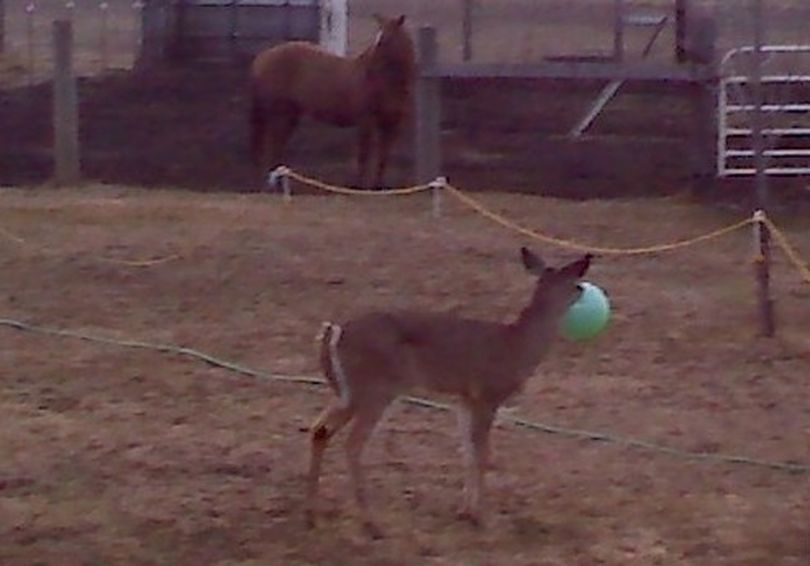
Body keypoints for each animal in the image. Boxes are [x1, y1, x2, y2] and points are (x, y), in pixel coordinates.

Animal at [248, 13, 414, 189]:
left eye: (386, 40)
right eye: (378, 40)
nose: (368, 71)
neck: (388, 83)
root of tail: (262, 58)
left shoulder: (391, 124)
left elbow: (383, 157)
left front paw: (378, 187)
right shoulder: (366, 122)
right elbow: (364, 155)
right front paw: (360, 186)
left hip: (290, 116)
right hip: (280, 115)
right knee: (273, 148)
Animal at [306, 247, 592, 536]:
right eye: (576, 284)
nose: (583, 291)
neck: (517, 346)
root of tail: (336, 332)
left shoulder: (464, 399)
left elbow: (467, 453)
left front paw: (464, 511)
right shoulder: (488, 395)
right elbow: (482, 455)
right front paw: (481, 517)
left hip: (349, 392)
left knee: (319, 430)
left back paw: (314, 515)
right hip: (376, 389)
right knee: (352, 444)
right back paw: (371, 522)